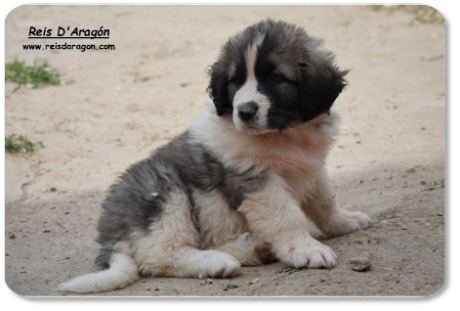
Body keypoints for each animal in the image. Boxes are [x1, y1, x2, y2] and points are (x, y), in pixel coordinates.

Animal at [59, 19, 372, 294]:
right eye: (235, 80)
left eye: (275, 78)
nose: (244, 111)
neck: (282, 133)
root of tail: (111, 235)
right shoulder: (256, 181)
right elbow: (286, 215)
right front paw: (307, 250)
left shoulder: (310, 166)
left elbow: (324, 200)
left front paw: (343, 222)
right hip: (164, 189)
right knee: (159, 256)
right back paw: (217, 262)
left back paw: (253, 248)